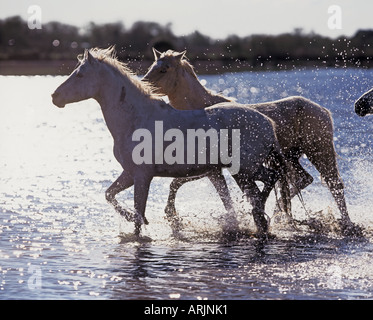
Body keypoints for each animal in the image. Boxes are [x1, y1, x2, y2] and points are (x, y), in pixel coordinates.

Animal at [50, 48, 288, 238]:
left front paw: (138, 227)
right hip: (242, 172)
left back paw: (259, 212)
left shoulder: (142, 176)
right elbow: (110, 195)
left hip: (245, 170)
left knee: (268, 182)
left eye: (80, 74)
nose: (54, 97)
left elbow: (138, 213)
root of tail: (268, 123)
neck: (136, 119)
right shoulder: (130, 173)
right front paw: (131, 218)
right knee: (264, 187)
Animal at [142, 48, 360, 238]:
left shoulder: (211, 168)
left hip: (319, 152)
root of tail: (322, 110)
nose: (143, 85)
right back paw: (280, 216)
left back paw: (347, 224)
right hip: (292, 157)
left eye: (164, 69)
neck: (202, 112)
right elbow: (182, 185)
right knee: (301, 180)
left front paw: (173, 216)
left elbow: (183, 185)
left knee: (334, 185)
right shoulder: (211, 168)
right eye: (152, 66)